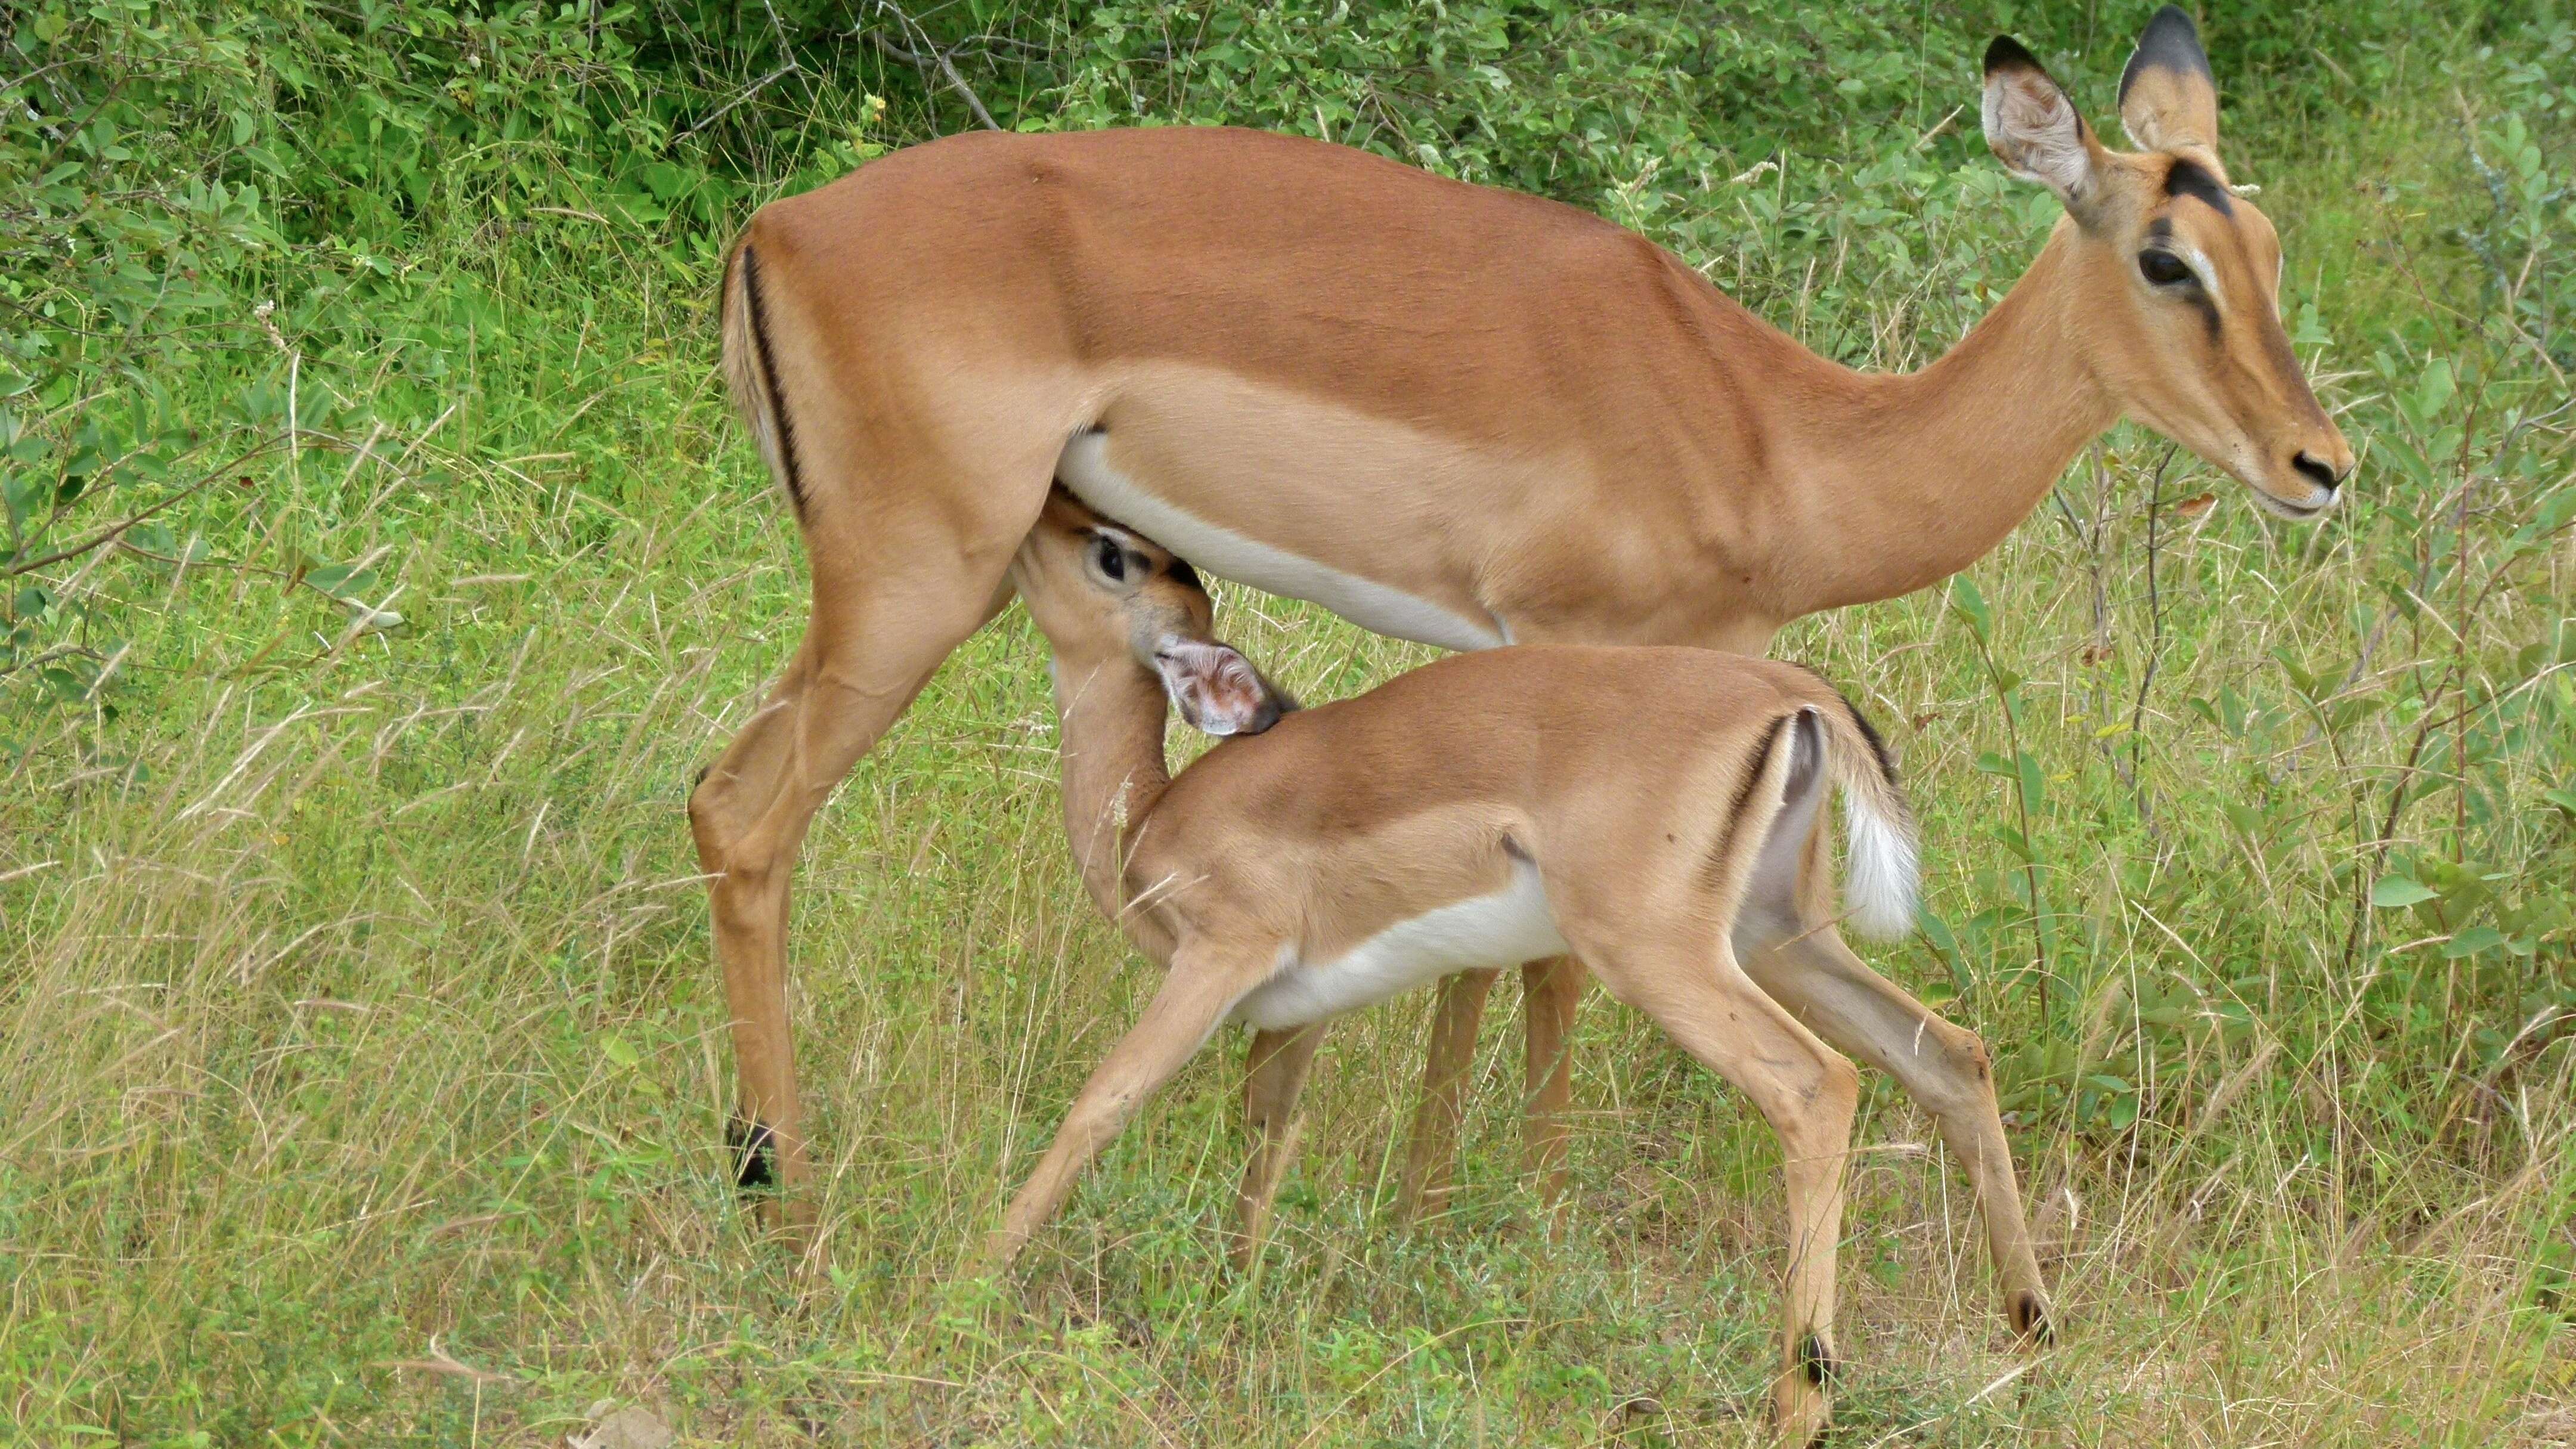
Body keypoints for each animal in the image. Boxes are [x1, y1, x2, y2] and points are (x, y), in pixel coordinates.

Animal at [994, 490, 2019, 1433]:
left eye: (1113, 551)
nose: (1038, 504)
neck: (1147, 820)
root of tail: (1790, 696)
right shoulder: (1295, 1013)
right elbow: (1267, 1142)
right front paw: (1232, 1297)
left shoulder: (1218, 959)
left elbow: (1102, 1102)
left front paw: (979, 1271)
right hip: (1779, 939)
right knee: (1951, 1049)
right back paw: (2028, 1324)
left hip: (1663, 955)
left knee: (1818, 1082)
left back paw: (1800, 1403)